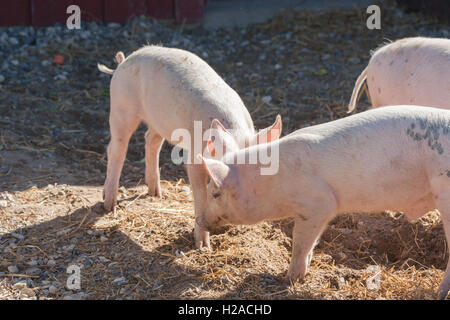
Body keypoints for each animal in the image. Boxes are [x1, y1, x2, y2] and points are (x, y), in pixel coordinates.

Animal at [97, 45, 282, 250]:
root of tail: (124, 62)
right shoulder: (193, 157)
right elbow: (200, 195)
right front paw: (203, 247)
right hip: (121, 106)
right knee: (117, 148)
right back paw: (109, 205)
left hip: (159, 119)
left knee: (150, 140)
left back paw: (156, 194)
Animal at [197, 106, 450, 298]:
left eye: (216, 193)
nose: (200, 220)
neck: (269, 183)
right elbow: (311, 244)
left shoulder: (318, 204)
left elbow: (300, 243)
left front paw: (288, 280)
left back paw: (439, 293)